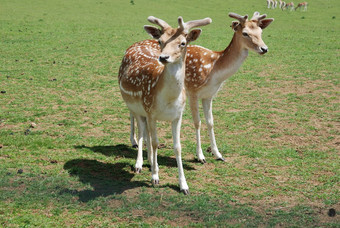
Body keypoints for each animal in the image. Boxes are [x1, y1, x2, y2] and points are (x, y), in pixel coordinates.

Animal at [118, 16, 211, 194]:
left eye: (183, 43)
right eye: (160, 41)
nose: (163, 58)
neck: (168, 99)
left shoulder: (177, 116)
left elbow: (177, 147)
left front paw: (184, 185)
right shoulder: (151, 112)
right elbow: (155, 142)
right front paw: (155, 177)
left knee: (145, 132)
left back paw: (149, 161)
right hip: (136, 107)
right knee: (142, 132)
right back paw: (140, 164)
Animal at [130, 11, 274, 164]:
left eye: (260, 32)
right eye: (245, 33)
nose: (264, 49)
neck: (214, 70)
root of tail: (134, 44)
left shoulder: (209, 95)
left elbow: (210, 122)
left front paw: (218, 154)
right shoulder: (193, 91)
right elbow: (197, 122)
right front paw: (200, 156)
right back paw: (134, 142)